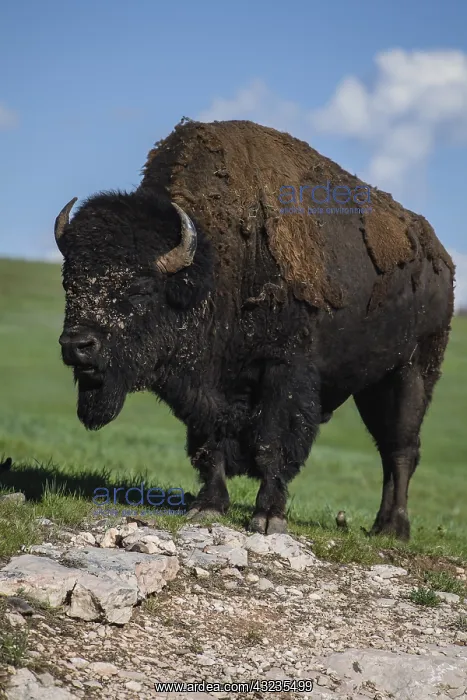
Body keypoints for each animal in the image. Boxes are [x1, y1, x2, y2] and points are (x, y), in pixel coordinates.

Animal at [55, 119, 454, 539]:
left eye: (140, 288)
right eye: (68, 282)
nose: (77, 345)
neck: (213, 270)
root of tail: (440, 258)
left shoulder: (284, 372)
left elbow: (271, 444)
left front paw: (268, 518)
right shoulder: (211, 389)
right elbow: (210, 442)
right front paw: (208, 507)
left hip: (411, 374)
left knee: (401, 449)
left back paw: (394, 528)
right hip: (372, 385)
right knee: (388, 448)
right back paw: (380, 526)